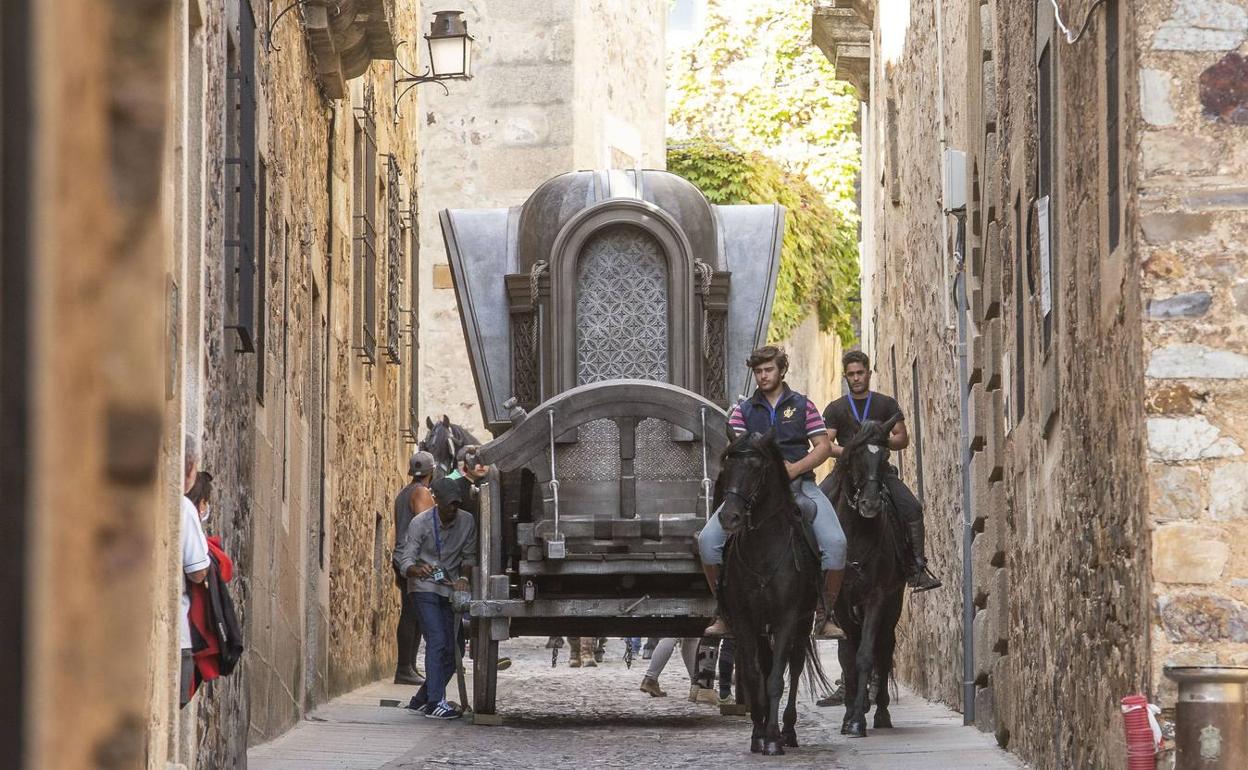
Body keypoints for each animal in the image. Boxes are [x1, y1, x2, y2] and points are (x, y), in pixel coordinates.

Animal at [718, 431, 833, 758]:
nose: (729, 517)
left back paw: (788, 731)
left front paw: (772, 738)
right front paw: (758, 734)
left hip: (802, 623)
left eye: (757, 467)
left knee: (793, 668)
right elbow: (755, 675)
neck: (762, 549)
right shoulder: (745, 620)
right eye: (728, 464)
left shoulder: (786, 618)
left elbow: (777, 680)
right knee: (768, 665)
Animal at [818, 414, 908, 738]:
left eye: (885, 457)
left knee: (884, 647)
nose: (870, 504)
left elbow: (866, 655)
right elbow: (847, 657)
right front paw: (849, 717)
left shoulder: (876, 597)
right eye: (856, 455)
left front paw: (858, 718)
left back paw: (880, 712)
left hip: (893, 604)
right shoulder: (841, 603)